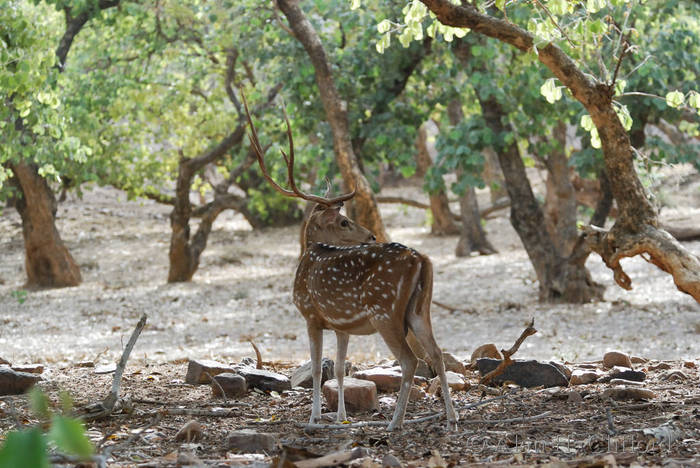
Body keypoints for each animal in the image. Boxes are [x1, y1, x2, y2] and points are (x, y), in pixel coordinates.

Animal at [242, 94, 458, 431]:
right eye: (343, 221)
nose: (369, 235)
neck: (308, 257)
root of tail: (421, 259)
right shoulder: (341, 324)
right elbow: (341, 368)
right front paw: (341, 417)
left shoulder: (311, 314)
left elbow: (319, 369)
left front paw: (315, 418)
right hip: (420, 309)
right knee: (436, 353)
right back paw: (451, 417)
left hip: (385, 311)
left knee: (411, 360)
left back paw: (395, 422)